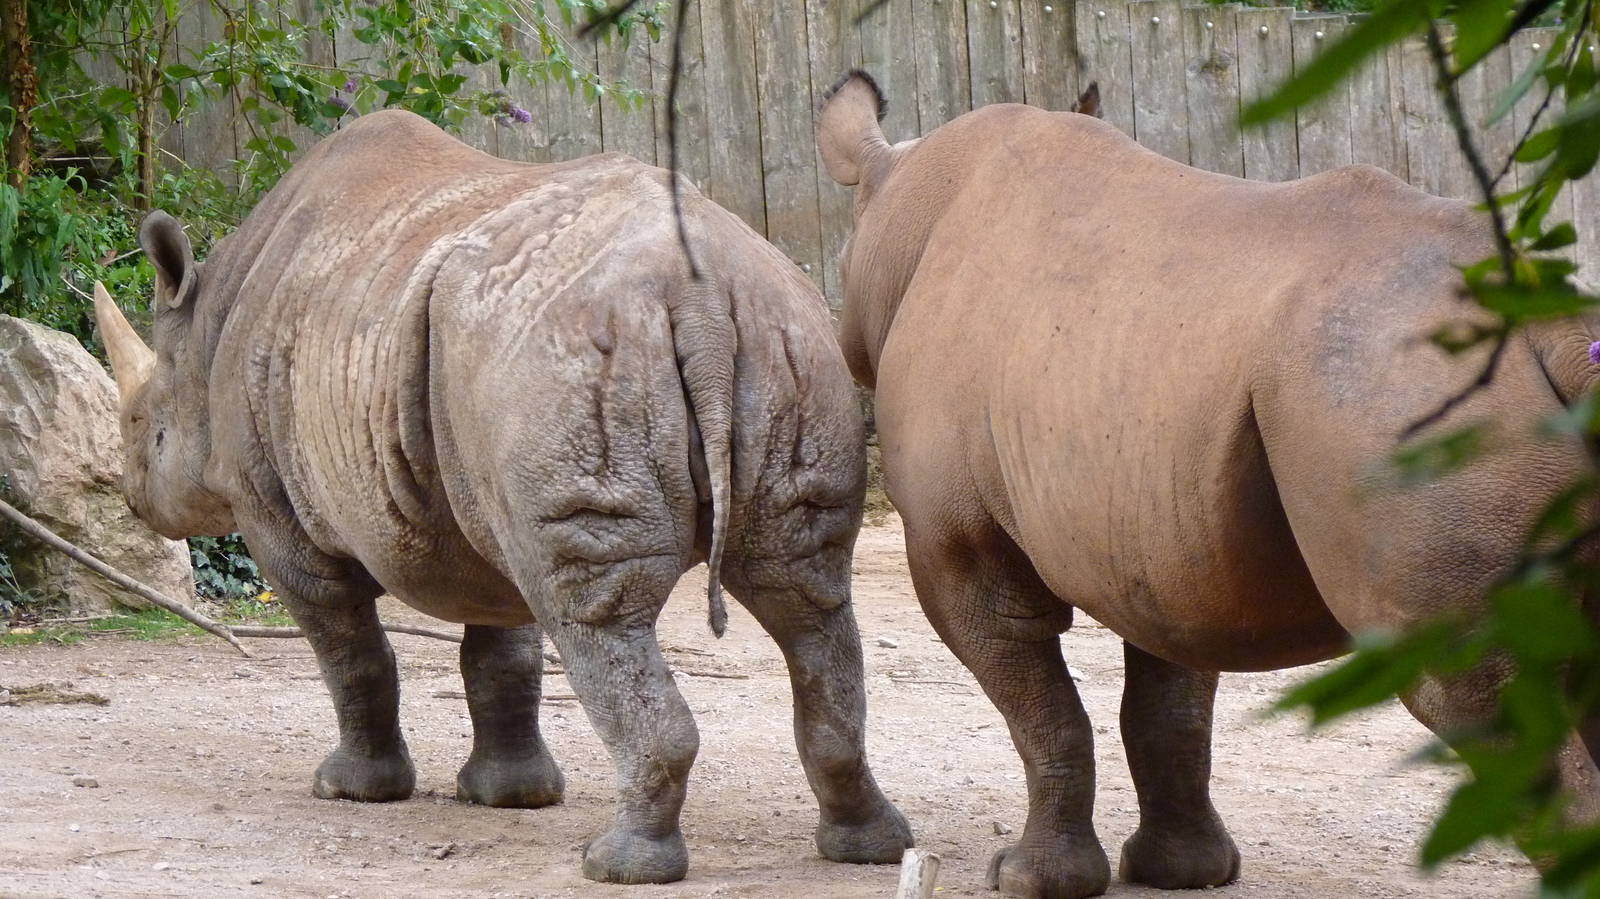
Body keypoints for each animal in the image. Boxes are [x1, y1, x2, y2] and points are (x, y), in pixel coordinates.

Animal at [93, 108, 912, 884]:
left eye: (144, 429)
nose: (132, 500)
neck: (205, 330)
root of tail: (701, 303)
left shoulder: (277, 516)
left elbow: (350, 650)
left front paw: (352, 790)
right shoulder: (489, 494)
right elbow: (503, 652)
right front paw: (512, 796)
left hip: (571, 363)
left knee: (596, 613)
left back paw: (616, 864)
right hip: (782, 339)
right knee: (805, 592)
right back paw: (868, 846)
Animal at [816, 70, 1600, 898]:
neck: (899, 202)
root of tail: (1551, 328)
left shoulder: (960, 548)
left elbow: (1044, 710)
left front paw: (1029, 878)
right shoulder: (1163, 531)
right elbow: (1167, 708)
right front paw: (1184, 871)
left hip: (1402, 395)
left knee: (1469, 693)